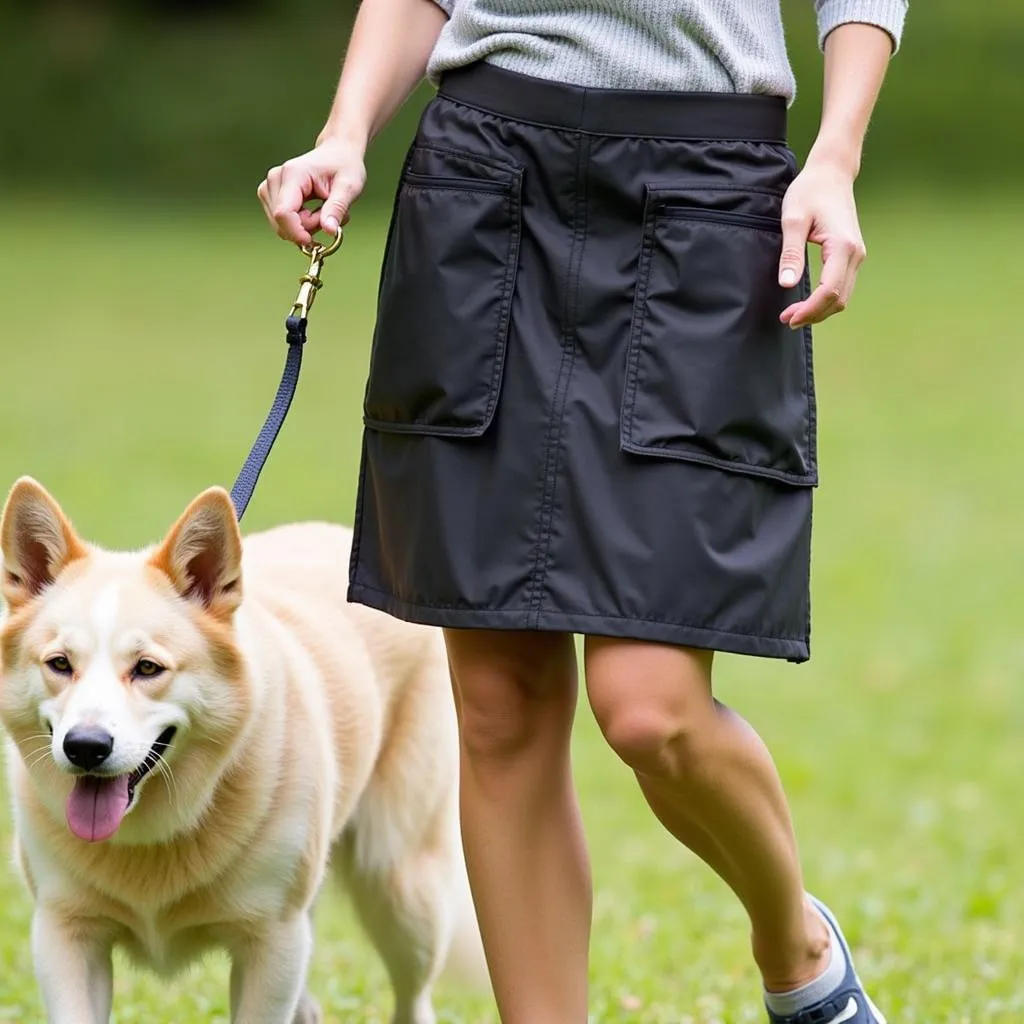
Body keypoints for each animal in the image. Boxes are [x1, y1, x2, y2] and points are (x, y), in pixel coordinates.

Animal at [0, 479, 481, 1024]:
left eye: (147, 668)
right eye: (60, 664)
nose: (85, 747)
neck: (156, 834)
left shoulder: (271, 941)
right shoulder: (64, 932)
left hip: (402, 891)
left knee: (413, 995)